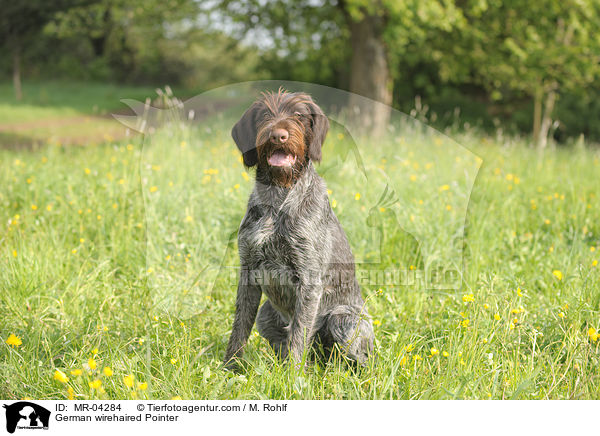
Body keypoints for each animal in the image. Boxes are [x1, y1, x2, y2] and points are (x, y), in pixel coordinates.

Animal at [223, 89, 372, 372]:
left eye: (299, 115)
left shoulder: (309, 280)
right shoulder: (248, 272)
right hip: (266, 314)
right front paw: (230, 368)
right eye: (264, 114)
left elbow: (299, 333)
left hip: (343, 320)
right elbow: (239, 327)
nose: (278, 135)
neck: (277, 198)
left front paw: (293, 377)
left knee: (356, 360)